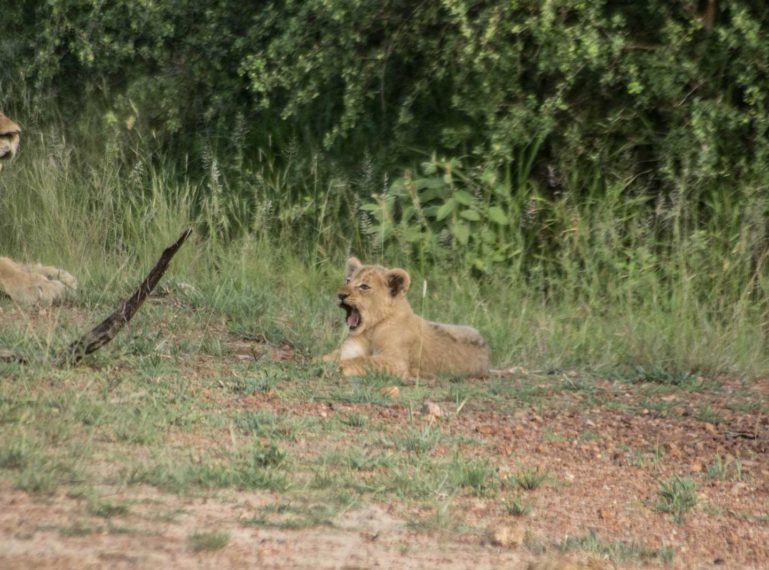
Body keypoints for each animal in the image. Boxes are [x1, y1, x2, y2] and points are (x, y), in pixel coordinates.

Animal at [322, 258, 488, 378]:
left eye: (364, 286)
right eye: (348, 281)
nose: (340, 295)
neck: (372, 328)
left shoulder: (396, 362)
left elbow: (364, 360)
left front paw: (341, 366)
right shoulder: (350, 348)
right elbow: (332, 355)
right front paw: (320, 361)